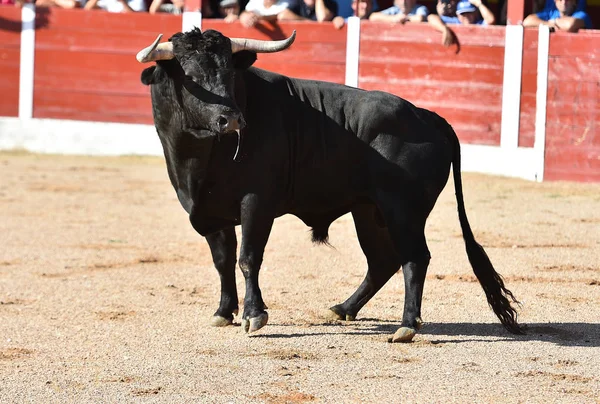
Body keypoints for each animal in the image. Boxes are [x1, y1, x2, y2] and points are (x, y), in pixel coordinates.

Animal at [137, 28, 520, 342]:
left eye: (230, 72)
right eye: (190, 75)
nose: (230, 119)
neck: (199, 154)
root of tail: (429, 116)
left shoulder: (256, 202)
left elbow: (248, 258)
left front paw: (253, 315)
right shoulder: (208, 210)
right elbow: (222, 260)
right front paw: (222, 312)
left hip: (403, 211)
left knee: (415, 258)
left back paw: (407, 325)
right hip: (369, 211)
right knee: (382, 261)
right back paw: (343, 309)